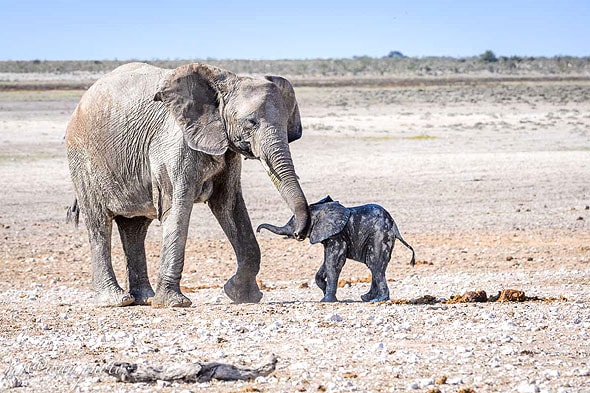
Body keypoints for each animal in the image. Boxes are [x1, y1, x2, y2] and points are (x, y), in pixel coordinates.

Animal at [66, 62, 310, 306]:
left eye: (286, 125)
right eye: (251, 123)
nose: (299, 234)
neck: (223, 82)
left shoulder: (227, 150)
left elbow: (228, 205)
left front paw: (242, 296)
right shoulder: (173, 145)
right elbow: (177, 208)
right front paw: (175, 303)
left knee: (135, 228)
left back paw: (144, 298)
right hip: (83, 159)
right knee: (99, 223)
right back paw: (117, 300)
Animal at [260, 196, 416, 304]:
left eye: (294, 222)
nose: (258, 230)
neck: (322, 209)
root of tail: (395, 226)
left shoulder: (337, 235)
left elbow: (333, 263)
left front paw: (326, 300)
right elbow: (326, 263)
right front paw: (325, 291)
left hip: (380, 235)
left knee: (375, 265)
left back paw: (378, 300)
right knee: (375, 266)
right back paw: (366, 297)